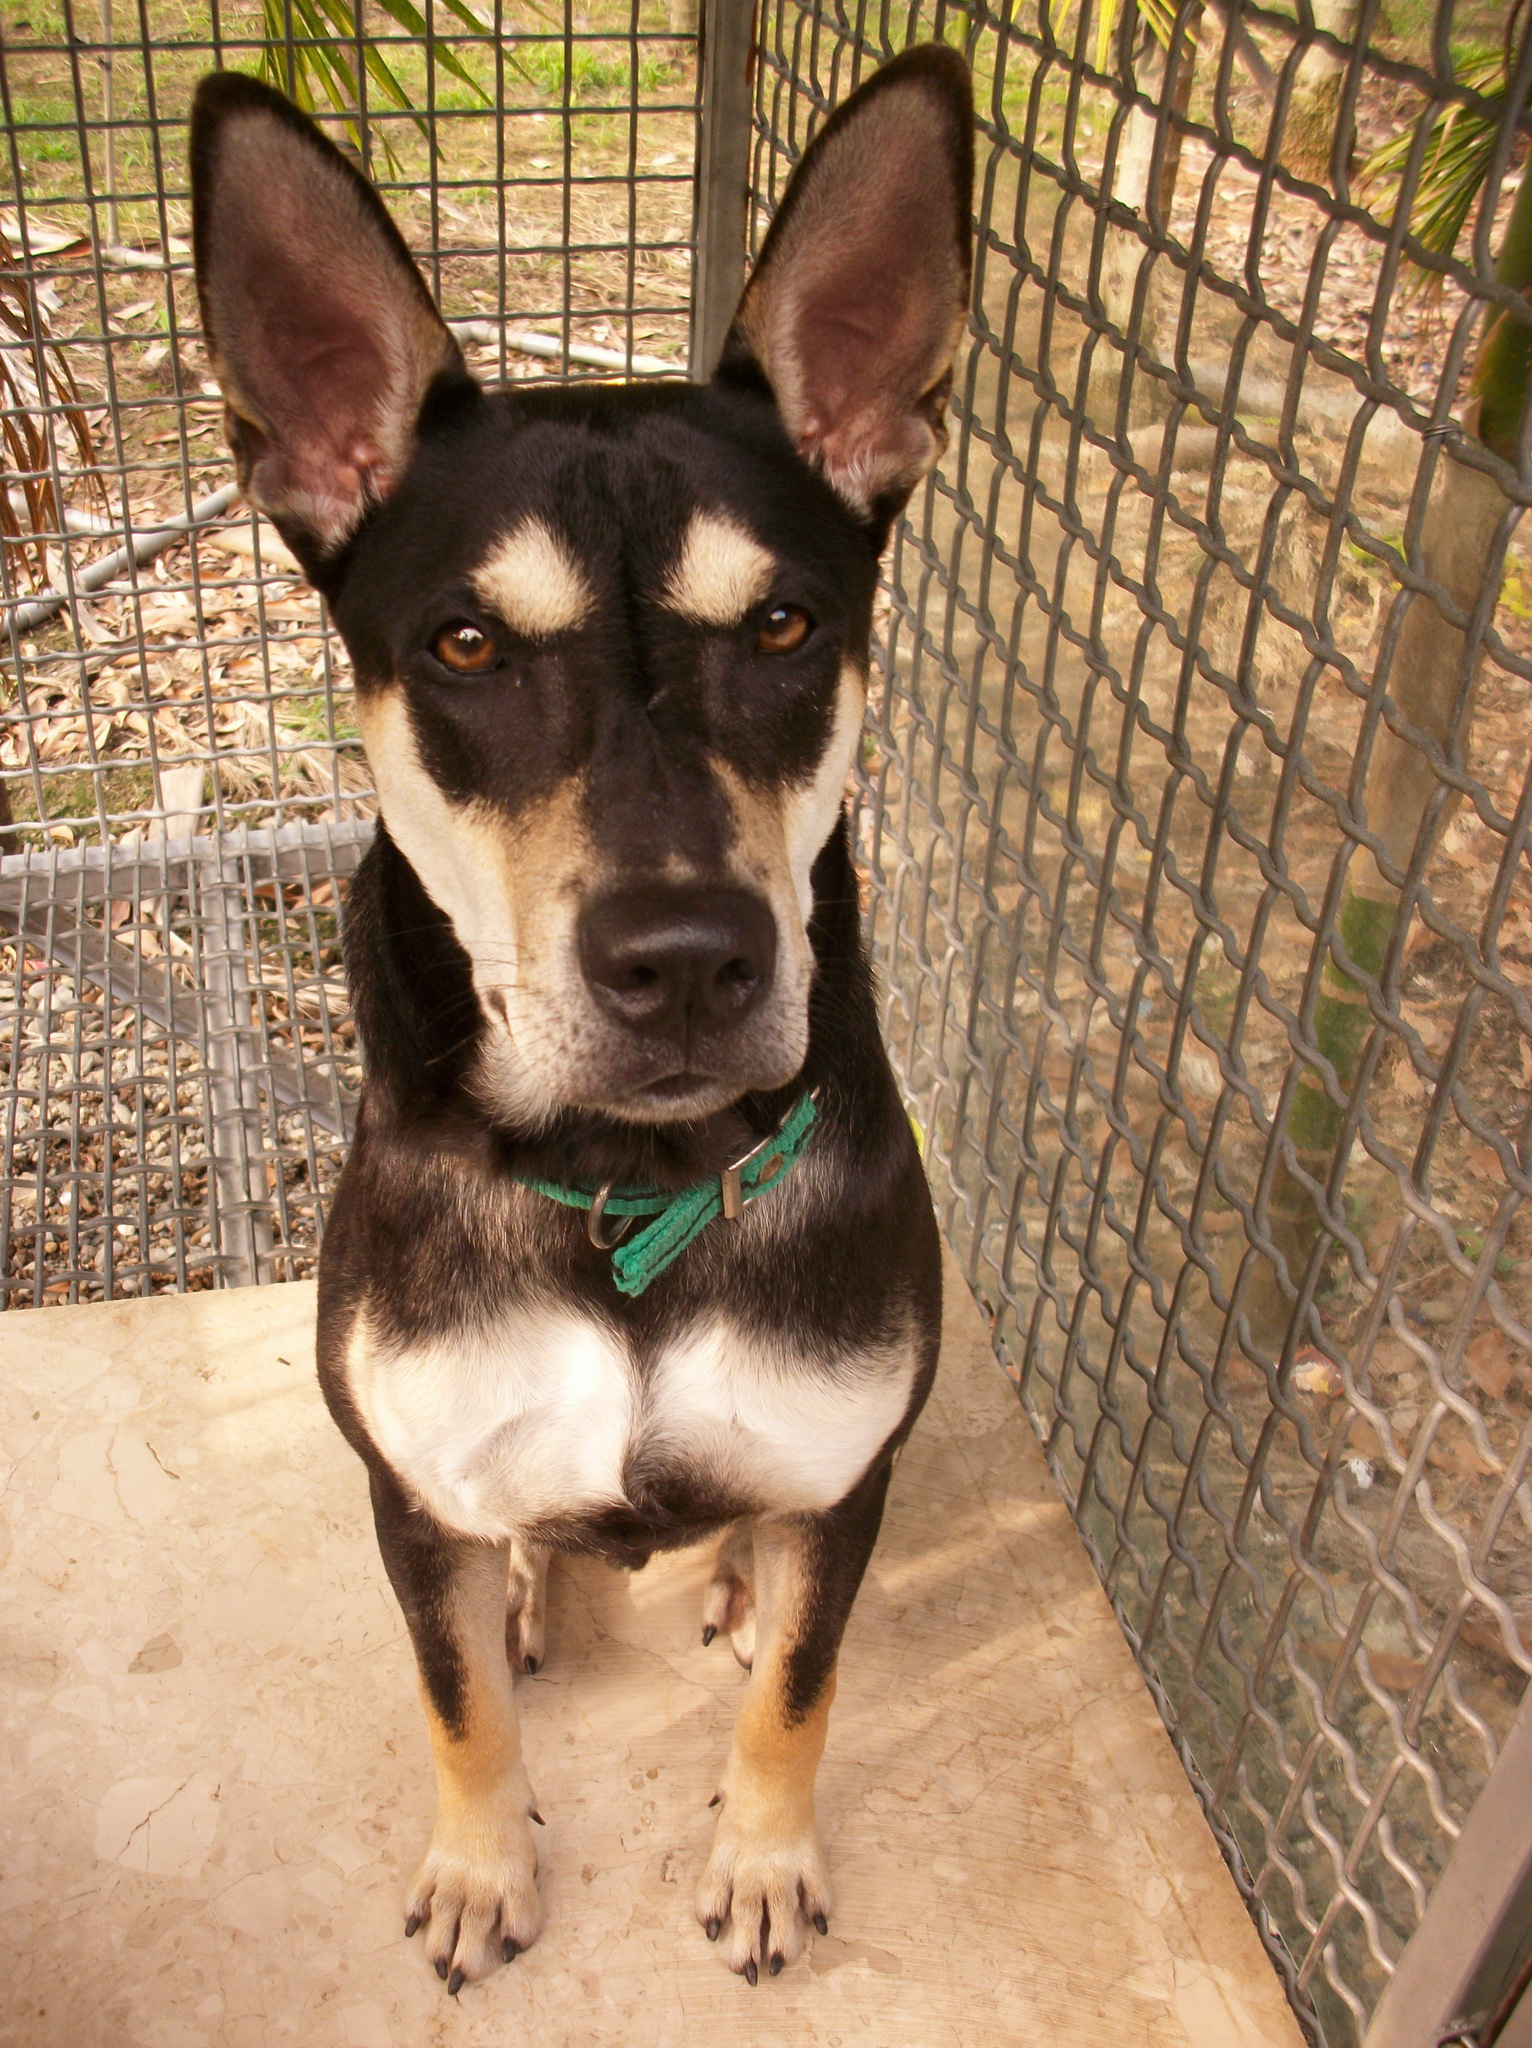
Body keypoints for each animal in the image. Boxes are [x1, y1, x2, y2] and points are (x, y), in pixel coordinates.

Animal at [189, 43, 972, 1992]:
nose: (686, 960)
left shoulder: (848, 1476)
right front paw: (484, 1871)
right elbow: (456, 1700)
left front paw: (763, 1858)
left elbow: (800, 1688)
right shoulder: (405, 1497)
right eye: (468, 646)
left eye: (785, 624)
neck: (633, 1177)